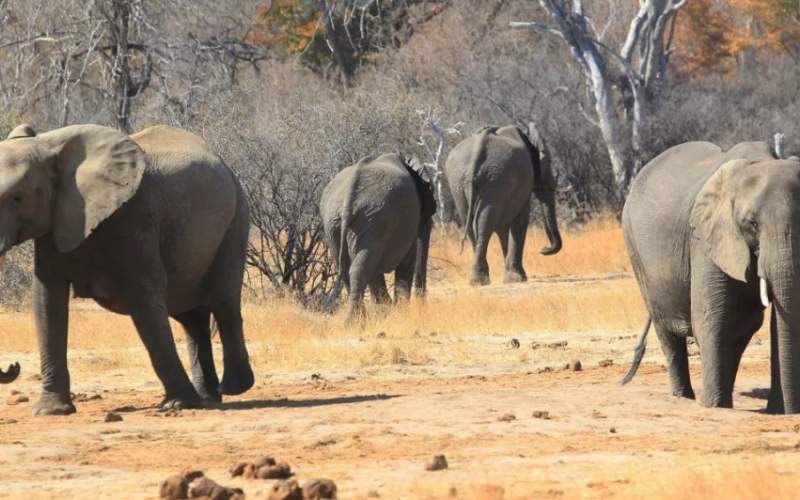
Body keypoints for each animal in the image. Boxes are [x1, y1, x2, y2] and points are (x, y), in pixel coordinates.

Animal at [0, 124, 253, 414]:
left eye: (17, 198)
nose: (13, 366)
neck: (47, 143)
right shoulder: (55, 223)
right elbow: (46, 302)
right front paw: (51, 411)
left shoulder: (133, 217)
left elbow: (144, 297)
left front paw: (178, 404)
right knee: (191, 317)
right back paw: (207, 397)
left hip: (236, 217)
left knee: (223, 301)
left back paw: (232, 388)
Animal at [320, 154, 438, 322]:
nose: (423, 309)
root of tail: (348, 198)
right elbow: (407, 261)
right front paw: (398, 313)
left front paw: (386, 311)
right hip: (372, 220)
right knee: (361, 267)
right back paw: (357, 322)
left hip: (338, 223)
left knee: (348, 267)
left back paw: (358, 321)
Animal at [444, 122, 564, 286]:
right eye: (549, 162)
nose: (543, 249)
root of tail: (478, 149)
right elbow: (520, 221)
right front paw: (518, 278)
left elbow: (503, 227)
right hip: (496, 178)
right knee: (484, 223)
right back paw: (480, 280)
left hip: (459, 182)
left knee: (470, 224)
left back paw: (477, 279)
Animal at [620, 142, 800, 414]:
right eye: (751, 224)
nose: (791, 411)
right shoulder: (706, 238)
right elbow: (711, 317)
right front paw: (715, 407)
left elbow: (766, 323)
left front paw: (776, 411)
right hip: (634, 248)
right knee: (666, 329)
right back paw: (684, 397)